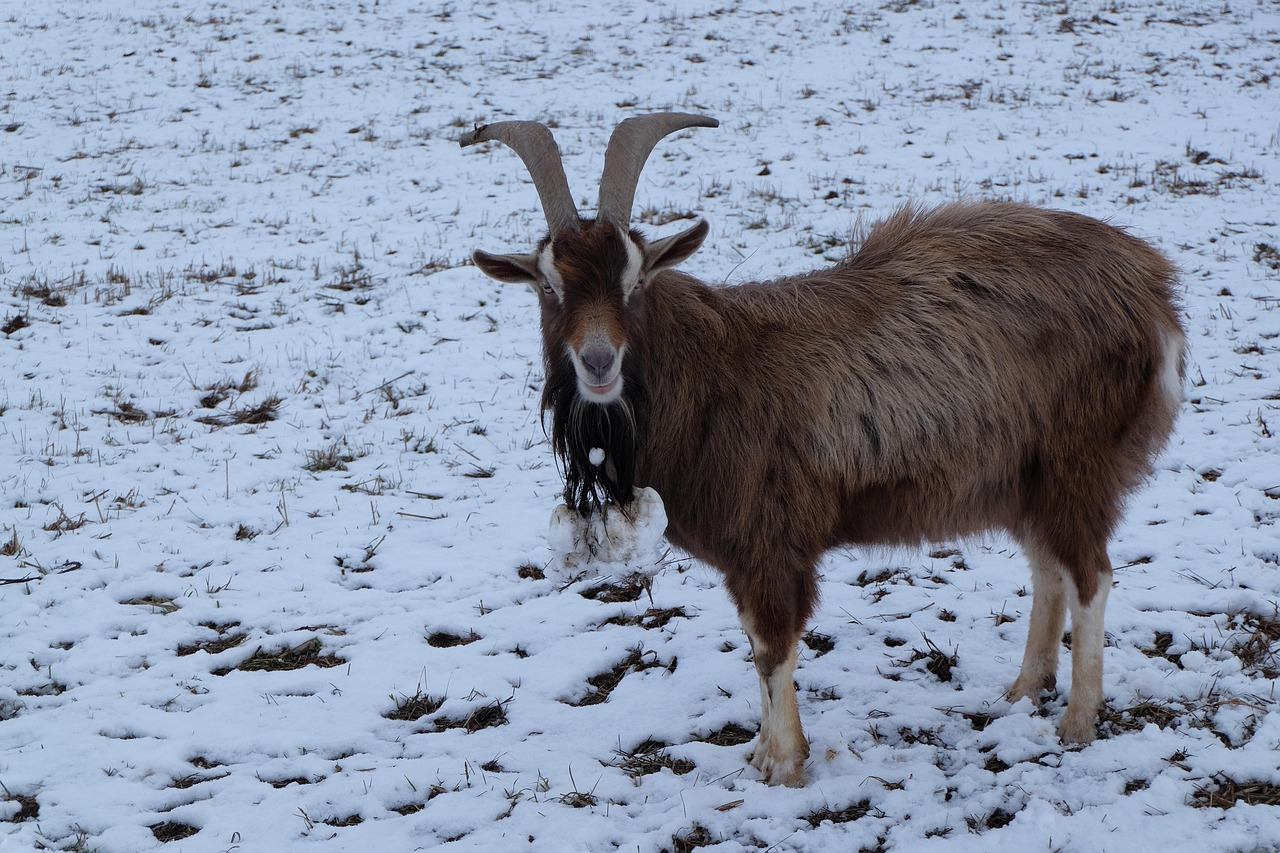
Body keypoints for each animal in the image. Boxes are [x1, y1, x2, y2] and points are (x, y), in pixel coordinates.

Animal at [460, 113, 1186, 786]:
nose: (598, 362)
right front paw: (762, 751)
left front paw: (783, 763)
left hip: (1077, 461)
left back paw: (1077, 721)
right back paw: (1023, 691)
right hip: (1023, 478)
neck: (711, 370)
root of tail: (1153, 291)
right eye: (547, 285)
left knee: (1091, 575)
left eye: (636, 280)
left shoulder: (769, 537)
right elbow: (756, 640)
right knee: (1048, 570)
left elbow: (771, 644)